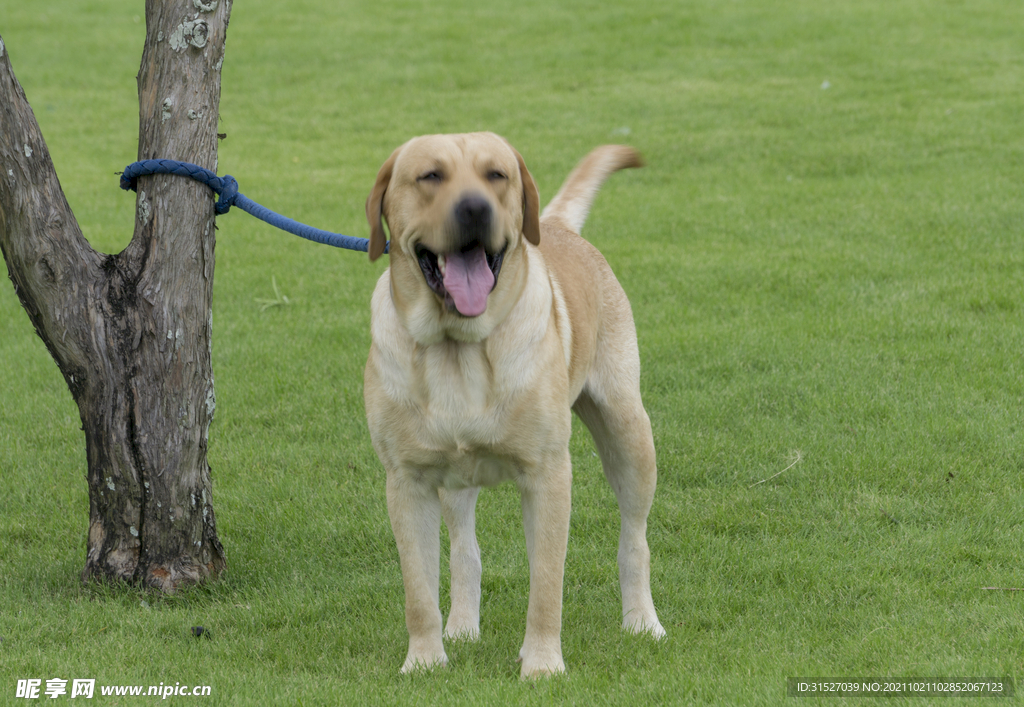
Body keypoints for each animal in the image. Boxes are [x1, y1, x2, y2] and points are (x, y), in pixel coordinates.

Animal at [364, 132, 667, 676]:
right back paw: (461, 627)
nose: (475, 208)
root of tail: (555, 224)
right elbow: (418, 590)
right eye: (431, 176)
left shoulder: (548, 473)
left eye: (496, 175)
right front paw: (424, 662)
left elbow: (546, 584)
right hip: (453, 481)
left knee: (634, 538)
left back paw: (642, 622)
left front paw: (542, 664)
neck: (457, 349)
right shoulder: (407, 481)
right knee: (464, 551)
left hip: (628, 432)